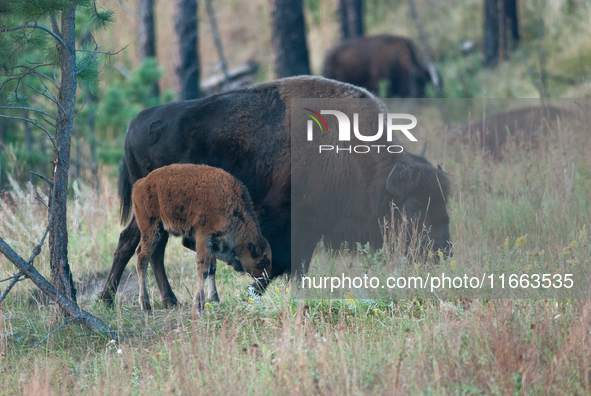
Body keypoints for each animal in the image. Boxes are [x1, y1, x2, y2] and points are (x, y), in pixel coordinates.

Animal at [132, 162, 272, 310]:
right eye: (264, 261)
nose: (266, 277)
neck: (229, 201)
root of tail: (141, 183)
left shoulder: (211, 242)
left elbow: (212, 267)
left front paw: (214, 299)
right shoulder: (204, 235)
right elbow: (203, 268)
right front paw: (198, 304)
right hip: (151, 229)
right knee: (142, 258)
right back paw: (146, 305)